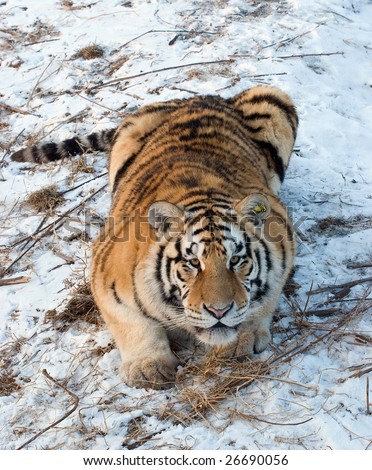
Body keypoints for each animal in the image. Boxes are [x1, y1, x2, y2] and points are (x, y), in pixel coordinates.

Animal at [10, 85, 298, 390]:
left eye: (236, 261)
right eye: (193, 263)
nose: (219, 311)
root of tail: (203, 96)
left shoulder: (283, 239)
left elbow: (264, 296)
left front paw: (244, 336)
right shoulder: (104, 275)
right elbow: (133, 324)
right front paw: (147, 367)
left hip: (272, 96)